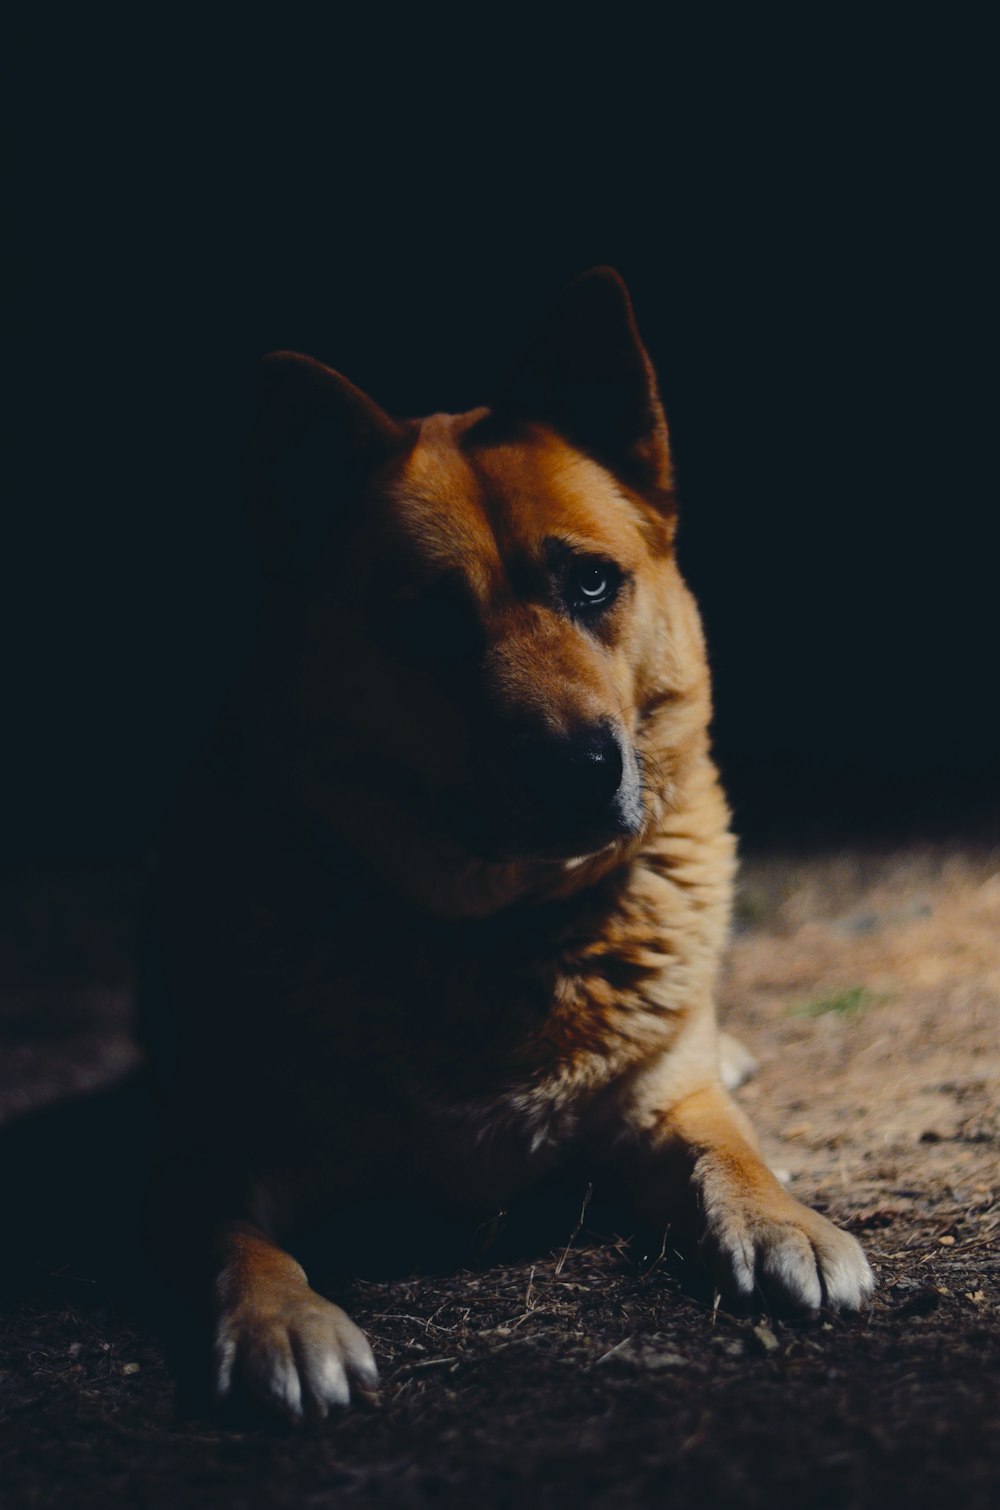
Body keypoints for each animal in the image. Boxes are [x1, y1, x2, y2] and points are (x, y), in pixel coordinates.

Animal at [151, 268, 876, 1413]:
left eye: (591, 582)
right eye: (432, 622)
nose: (581, 767)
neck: (512, 929)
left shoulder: (670, 1109)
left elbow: (729, 1148)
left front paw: (782, 1219)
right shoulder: (206, 1154)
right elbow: (232, 1236)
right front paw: (279, 1318)